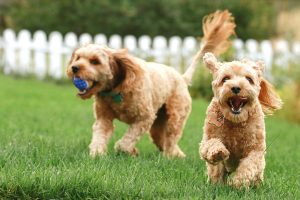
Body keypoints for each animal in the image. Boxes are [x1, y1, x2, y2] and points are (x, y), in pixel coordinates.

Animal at [67, 10, 236, 158]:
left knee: (171, 138)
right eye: (78, 57)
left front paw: (127, 150)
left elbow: (126, 141)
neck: (117, 90)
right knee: (162, 139)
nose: (74, 68)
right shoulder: (104, 119)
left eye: (95, 61)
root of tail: (182, 78)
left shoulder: (145, 118)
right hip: (158, 123)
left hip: (175, 117)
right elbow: (99, 136)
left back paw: (172, 155)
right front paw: (97, 154)